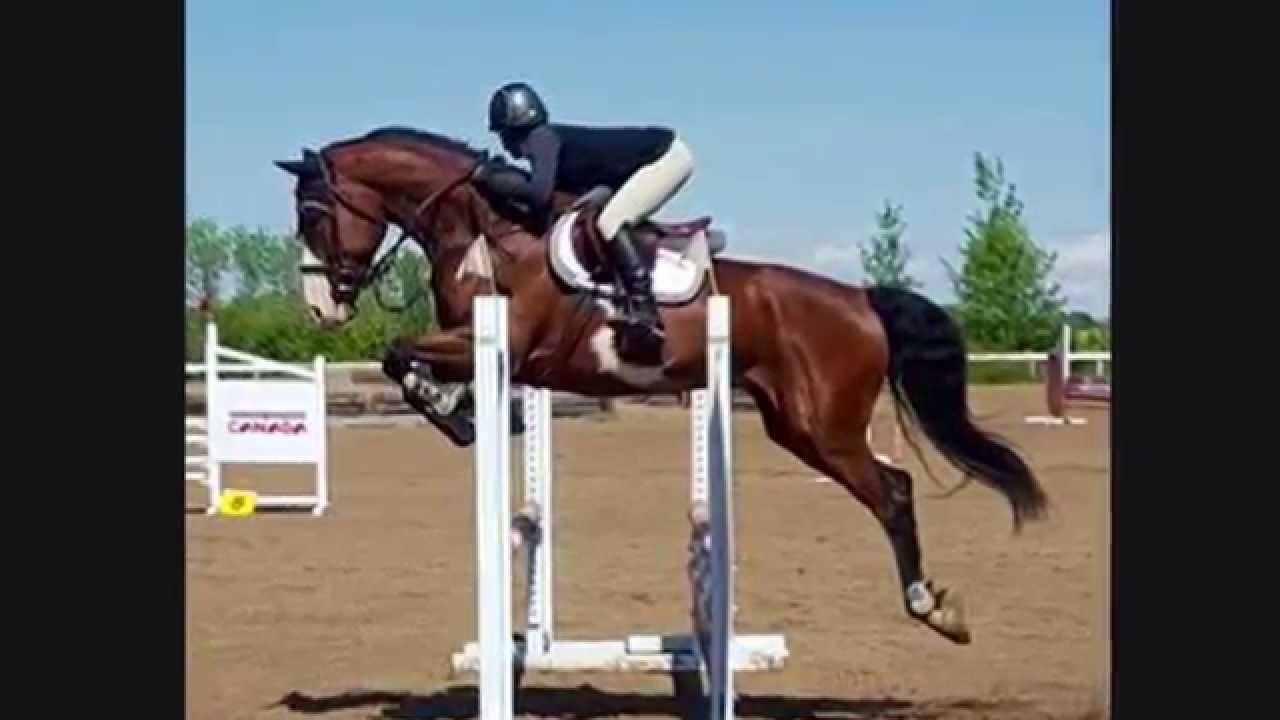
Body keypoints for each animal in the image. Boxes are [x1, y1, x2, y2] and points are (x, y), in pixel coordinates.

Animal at [274, 125, 1049, 645]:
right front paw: (458, 413)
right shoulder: (483, 350)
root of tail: (859, 298)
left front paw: (450, 412)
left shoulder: (498, 341)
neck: (485, 228)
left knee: (893, 491)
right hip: (791, 422)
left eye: (313, 214)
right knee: (890, 487)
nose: (320, 309)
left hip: (823, 425)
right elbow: (404, 362)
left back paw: (932, 609)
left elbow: (398, 353)